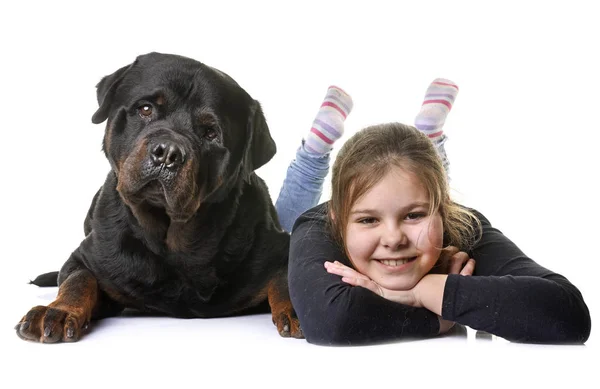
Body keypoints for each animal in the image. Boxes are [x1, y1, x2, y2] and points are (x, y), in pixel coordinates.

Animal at [15, 53, 302, 342]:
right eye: (145, 109)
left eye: (211, 133)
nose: (168, 153)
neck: (173, 245)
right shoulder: (88, 257)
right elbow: (79, 280)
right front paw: (60, 310)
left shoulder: (277, 247)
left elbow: (288, 279)